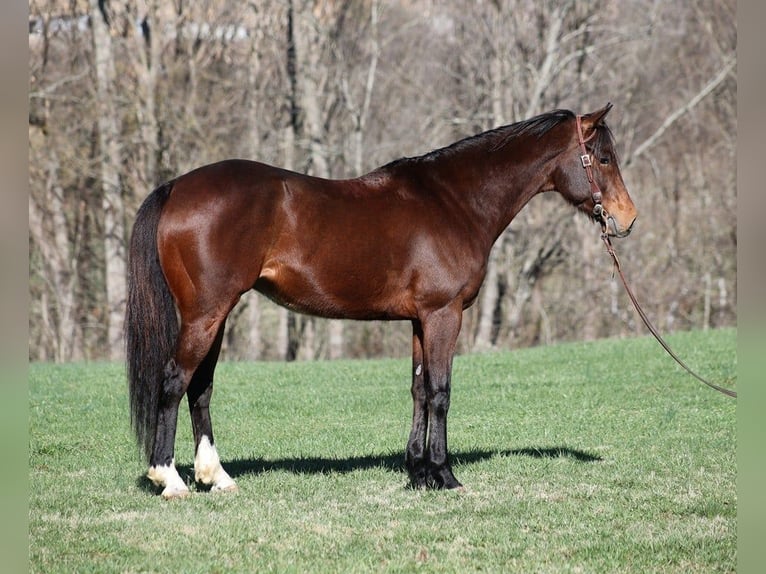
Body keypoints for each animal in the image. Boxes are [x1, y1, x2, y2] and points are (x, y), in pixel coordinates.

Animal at [126, 104, 637, 498]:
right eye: (603, 158)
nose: (628, 219)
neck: (454, 201)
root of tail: (176, 188)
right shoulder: (444, 315)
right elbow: (441, 392)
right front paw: (445, 476)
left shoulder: (419, 320)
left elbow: (418, 390)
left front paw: (418, 473)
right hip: (205, 315)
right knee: (174, 382)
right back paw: (170, 479)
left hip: (216, 316)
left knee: (200, 388)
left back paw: (216, 477)